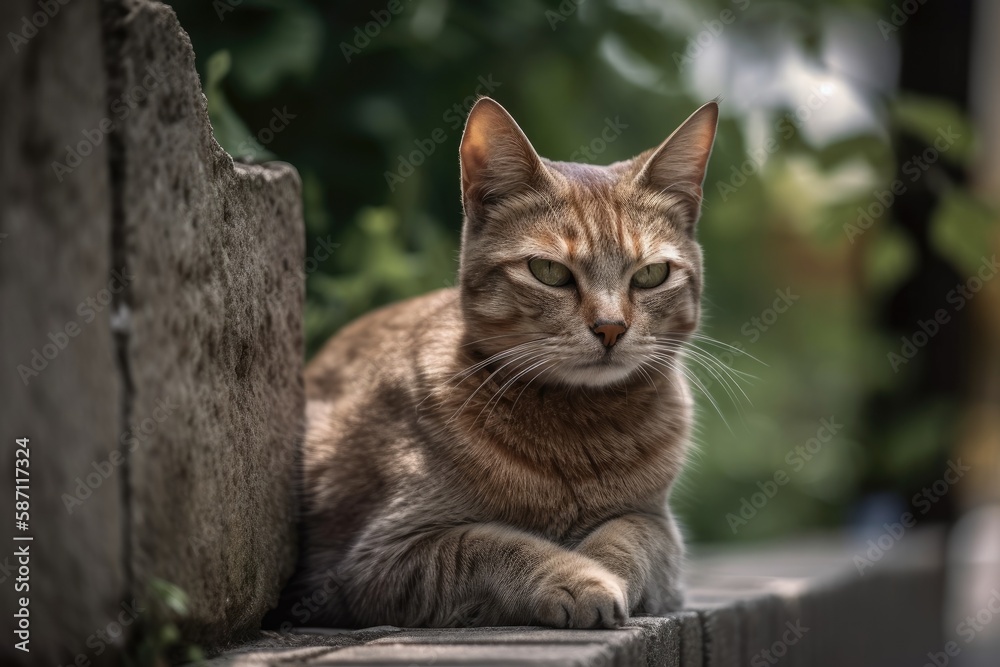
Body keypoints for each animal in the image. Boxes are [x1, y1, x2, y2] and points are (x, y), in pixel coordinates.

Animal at [290, 96, 720, 628]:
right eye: (549, 271)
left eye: (651, 274)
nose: (611, 328)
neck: (579, 433)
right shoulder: (377, 560)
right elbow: (492, 546)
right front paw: (578, 579)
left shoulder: (659, 530)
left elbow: (628, 539)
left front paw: (601, 570)